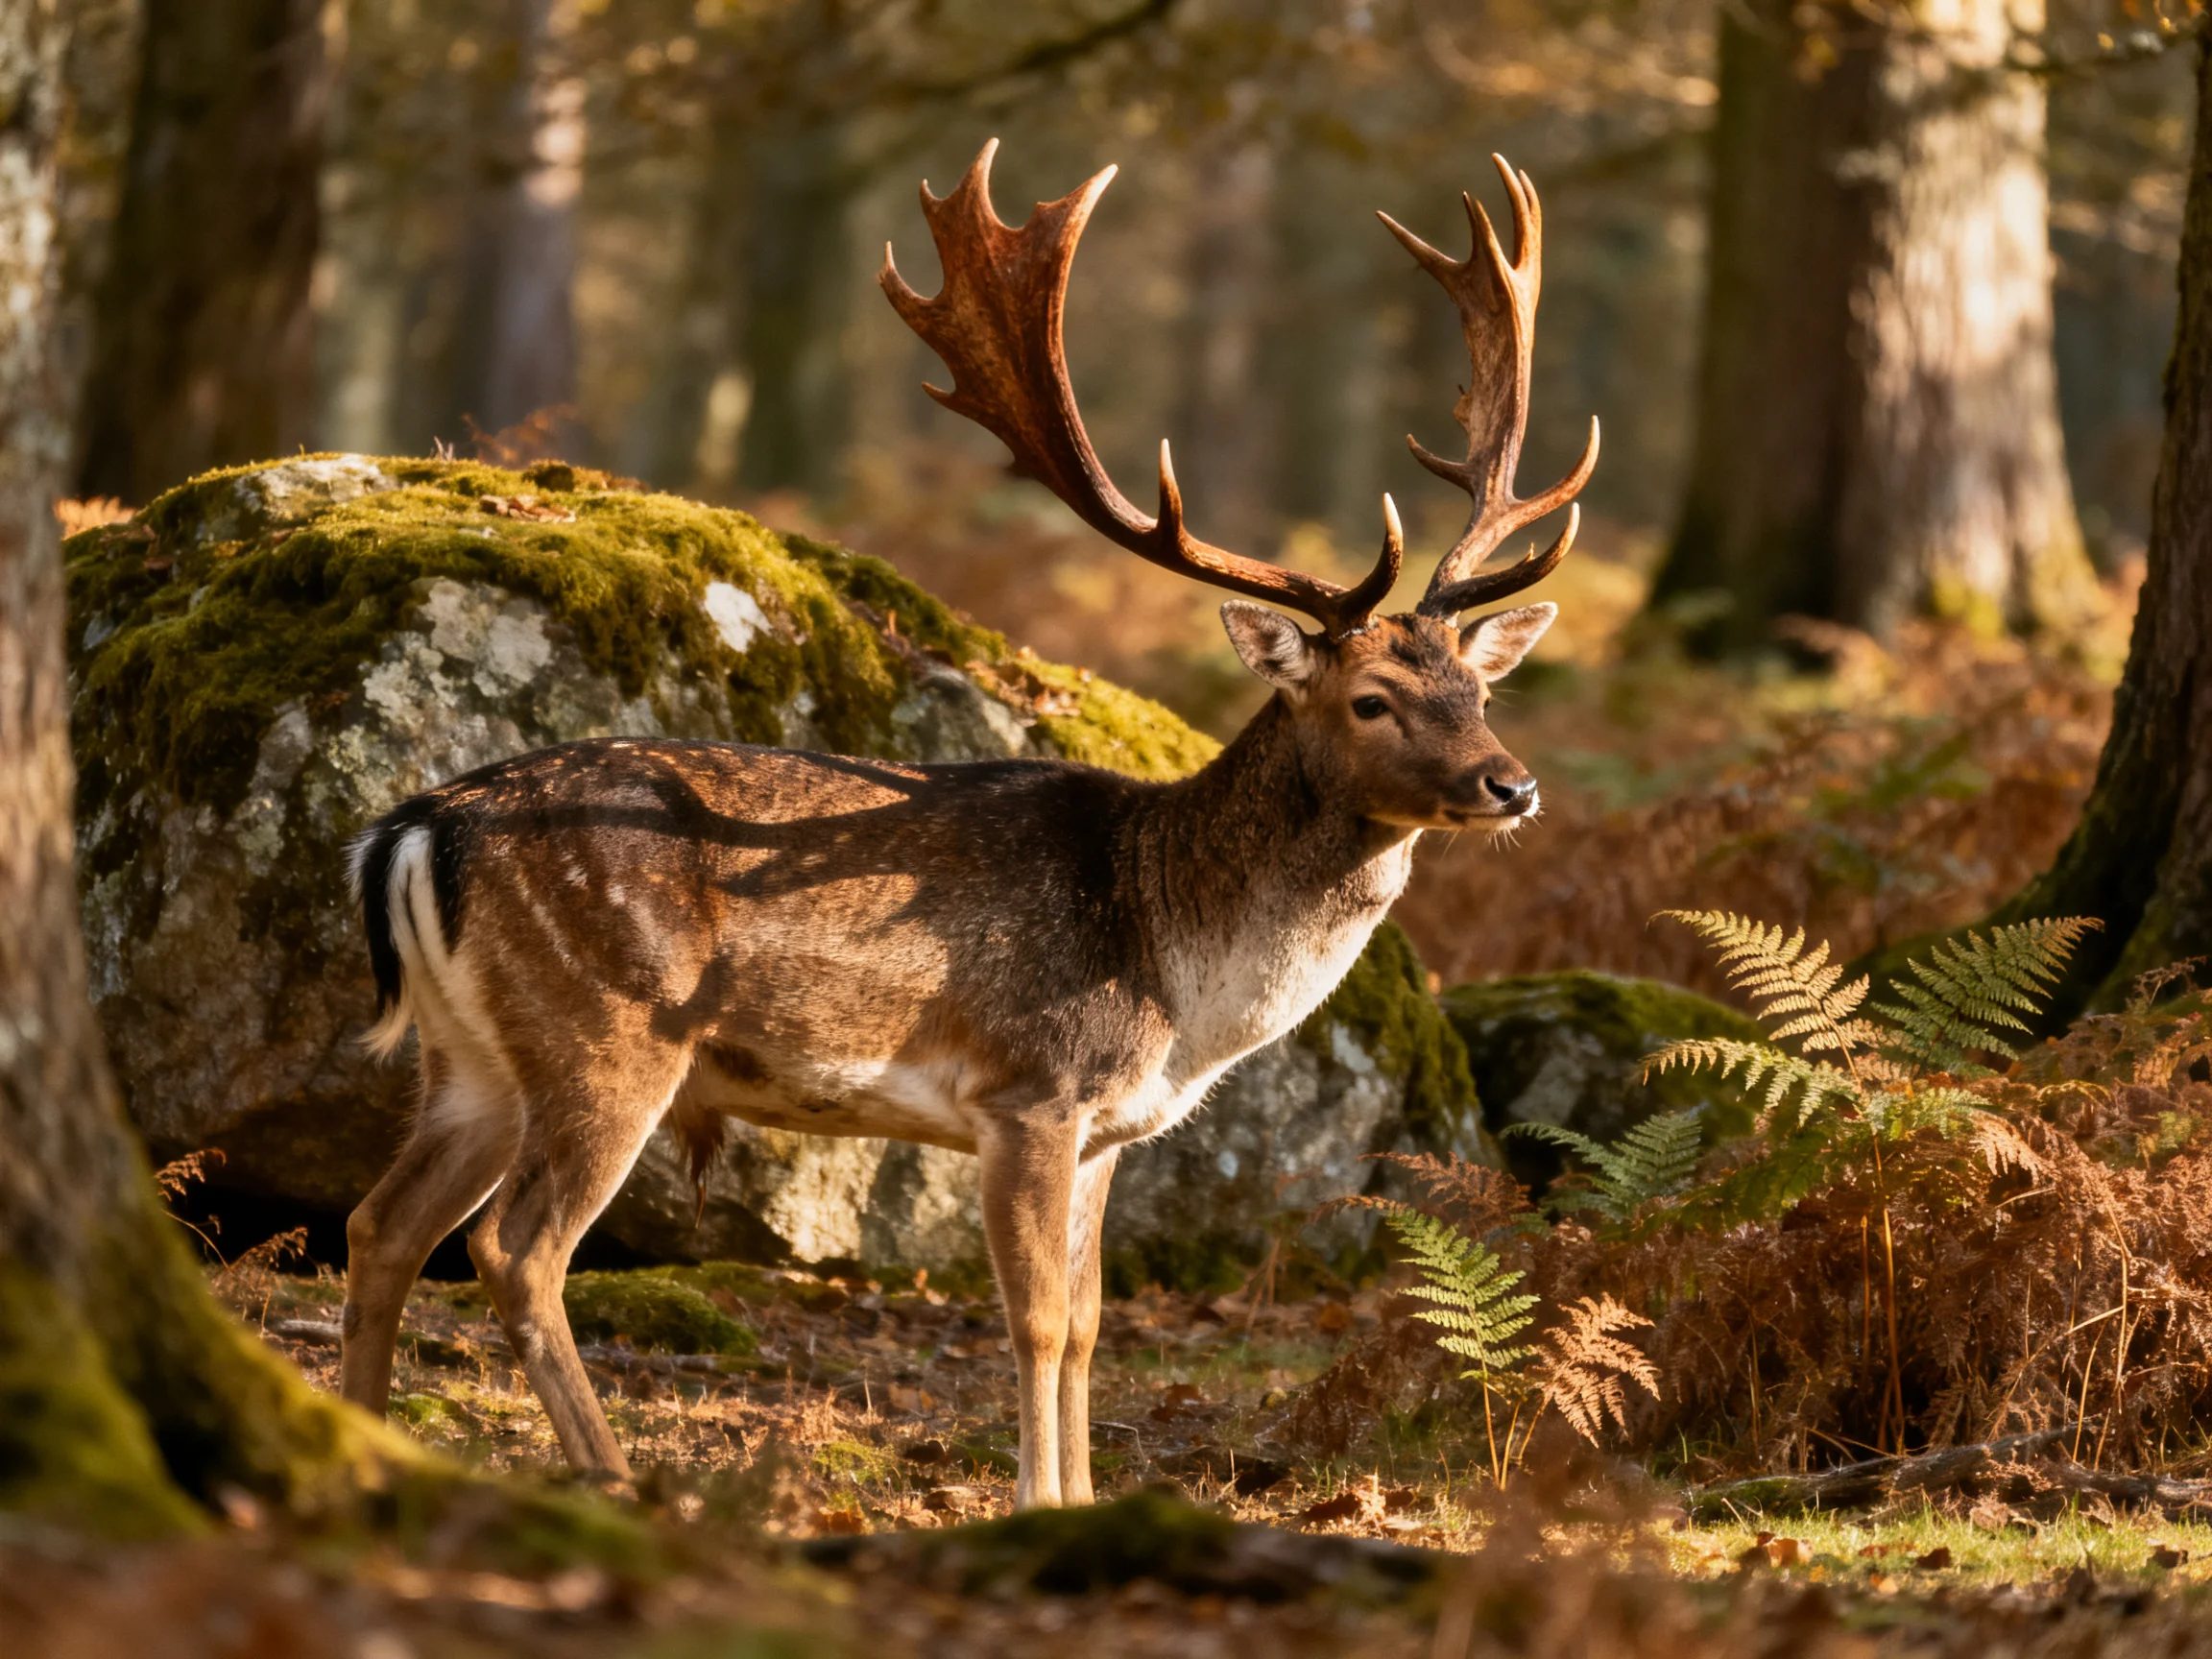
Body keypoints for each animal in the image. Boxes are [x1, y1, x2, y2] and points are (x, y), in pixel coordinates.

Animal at [337, 140, 1597, 1509]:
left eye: (1479, 689)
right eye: (1371, 698)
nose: (1514, 786)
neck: (1176, 970)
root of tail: (412, 827)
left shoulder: (1108, 1130)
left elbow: (1092, 1324)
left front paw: (1086, 1501)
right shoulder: (1031, 1088)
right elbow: (1037, 1319)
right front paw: (1037, 1502)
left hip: (471, 1053)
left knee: (380, 1223)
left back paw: (366, 1437)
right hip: (606, 1026)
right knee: (513, 1248)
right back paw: (613, 1476)